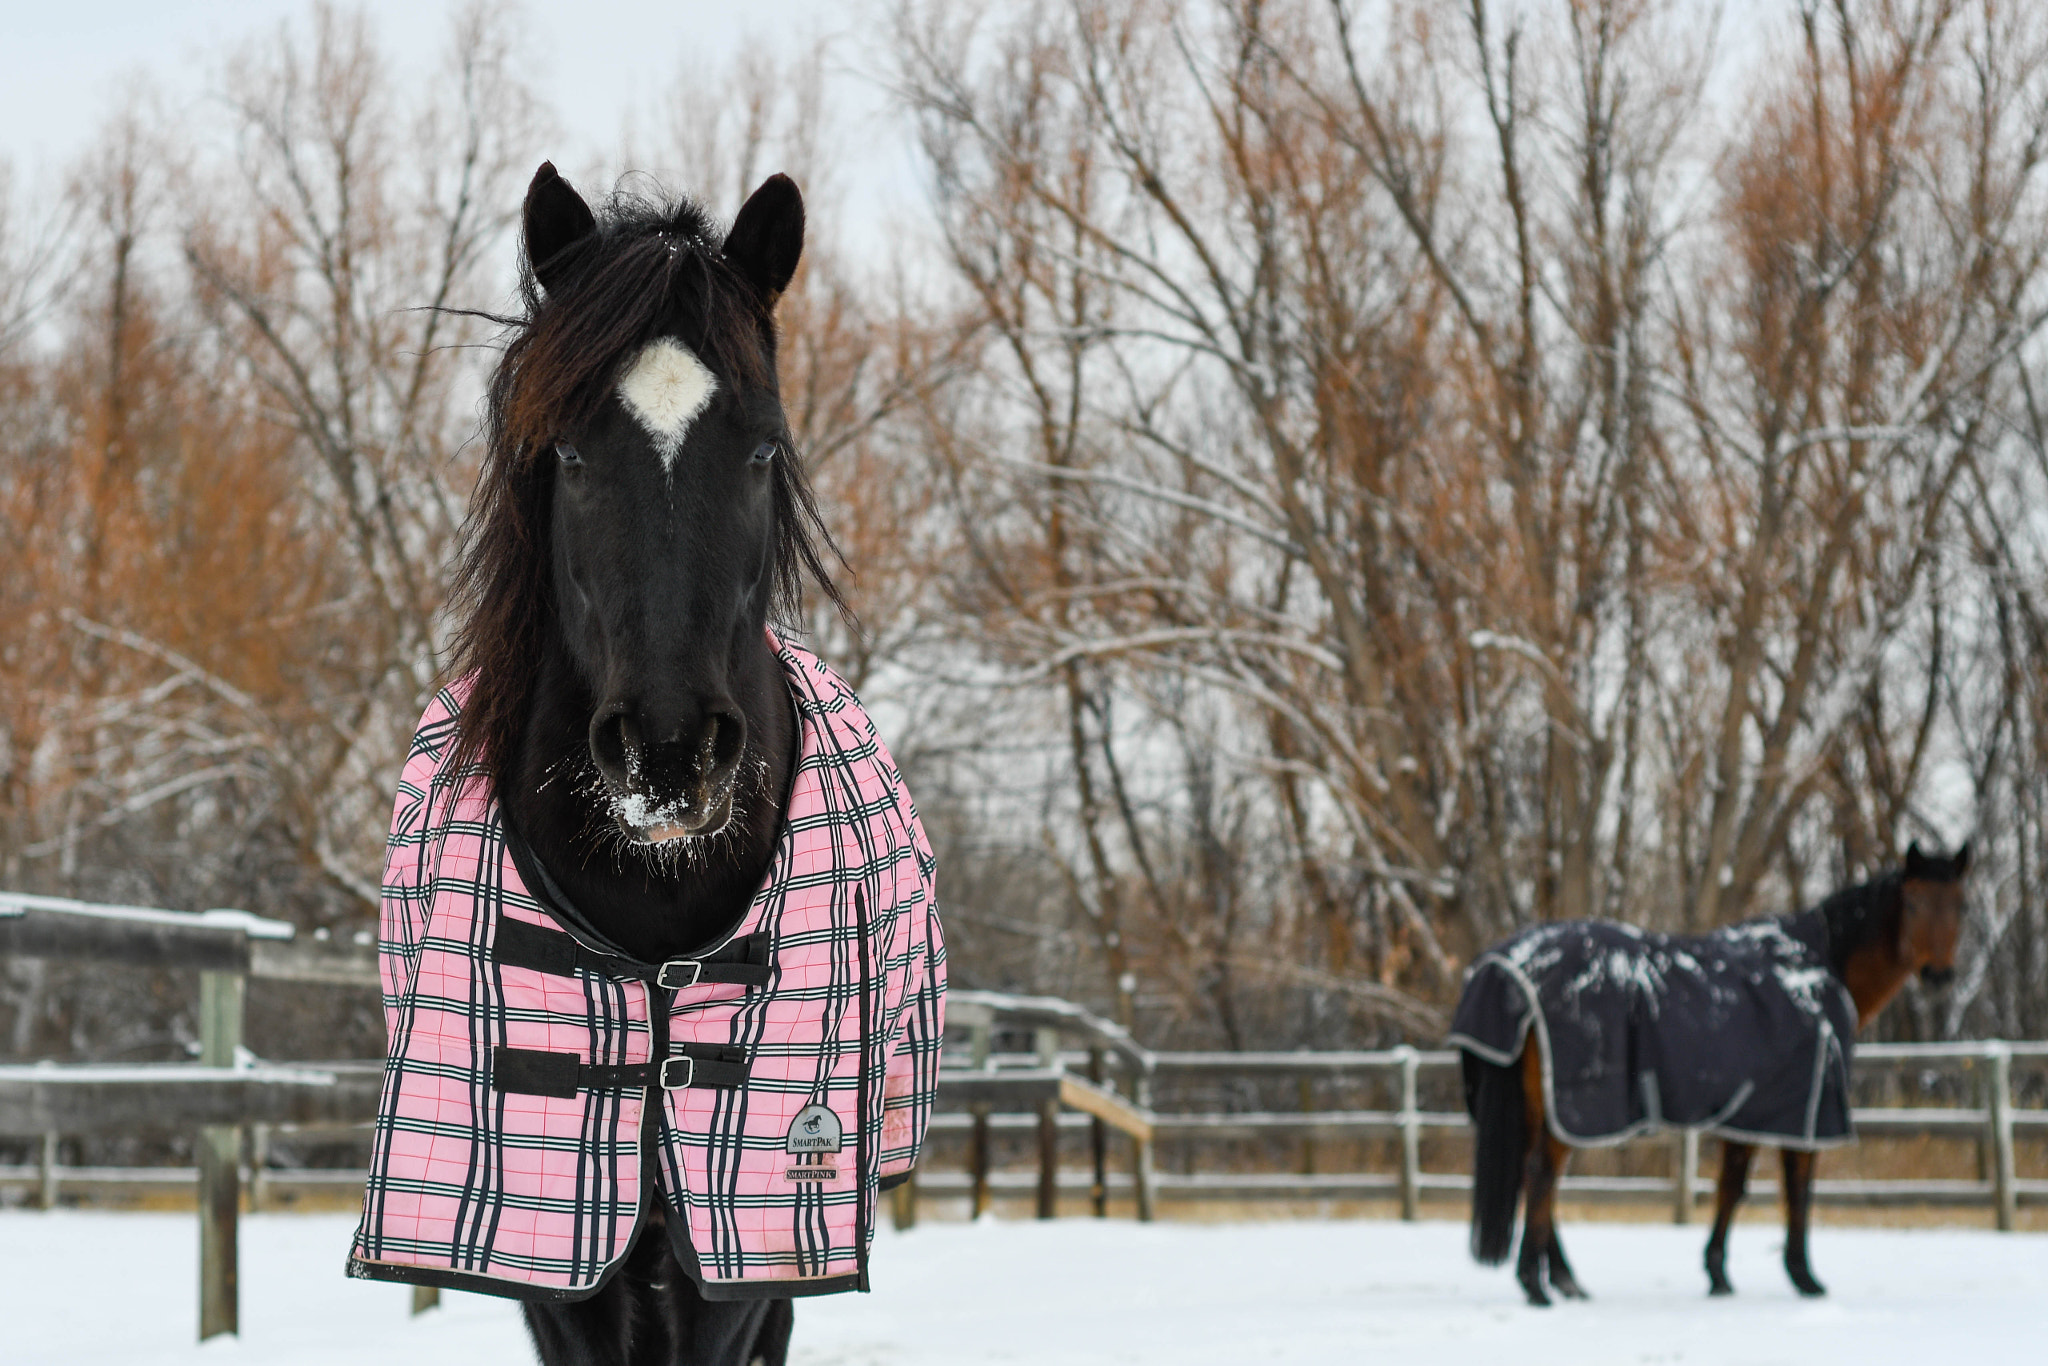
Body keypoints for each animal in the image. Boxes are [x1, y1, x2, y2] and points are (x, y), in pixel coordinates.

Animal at [1458, 839, 1966, 1310]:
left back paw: (1566, 1281)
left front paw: (1718, 1274)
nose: (1940, 975)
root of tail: (1504, 969)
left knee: (1533, 1179)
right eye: (1914, 903)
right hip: (1572, 1110)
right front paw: (1804, 1278)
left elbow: (1730, 1188)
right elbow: (1797, 1189)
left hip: (1538, 1107)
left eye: (1958, 903)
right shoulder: (1806, 1110)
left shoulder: (1749, 1113)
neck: (1822, 966)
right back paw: (1535, 1285)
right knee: (1541, 1175)